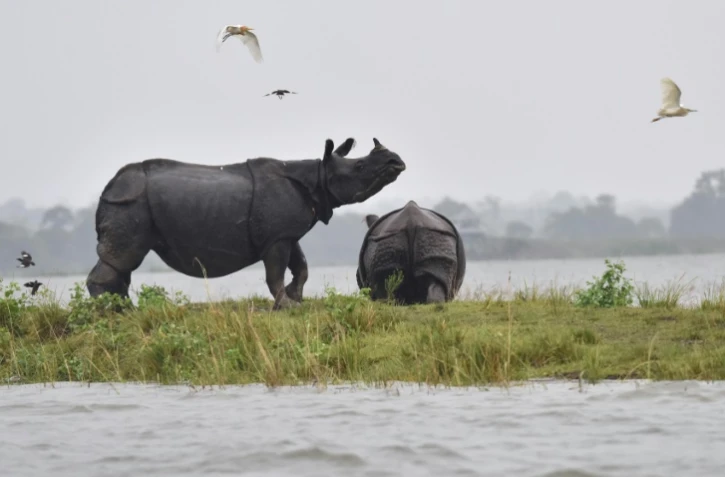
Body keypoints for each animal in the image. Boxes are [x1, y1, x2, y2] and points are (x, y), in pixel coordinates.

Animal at [86, 137, 406, 309]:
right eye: (359, 167)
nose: (395, 161)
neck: (318, 175)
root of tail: (107, 188)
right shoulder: (277, 237)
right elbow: (274, 273)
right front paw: (286, 305)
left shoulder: (285, 233)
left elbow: (301, 266)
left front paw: (296, 298)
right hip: (130, 202)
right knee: (124, 257)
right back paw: (118, 313)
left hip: (129, 200)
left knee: (123, 263)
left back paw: (122, 309)